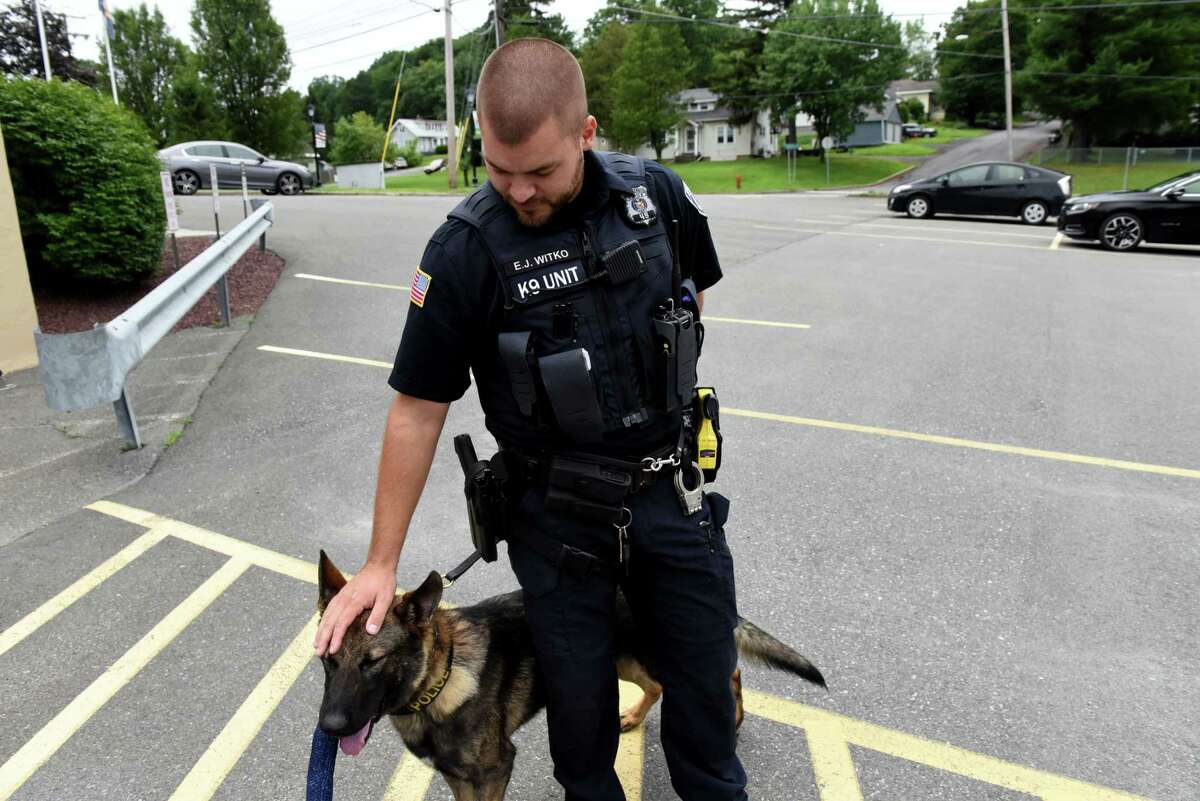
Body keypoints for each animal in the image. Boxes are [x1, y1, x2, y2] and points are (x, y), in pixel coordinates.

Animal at [319, 553, 825, 796]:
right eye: (327, 659)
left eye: (373, 661)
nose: (329, 727)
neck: (438, 681)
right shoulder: (458, 778)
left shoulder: (493, 771)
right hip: (618, 661)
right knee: (658, 685)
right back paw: (633, 716)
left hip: (664, 653)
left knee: (728, 670)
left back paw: (733, 716)